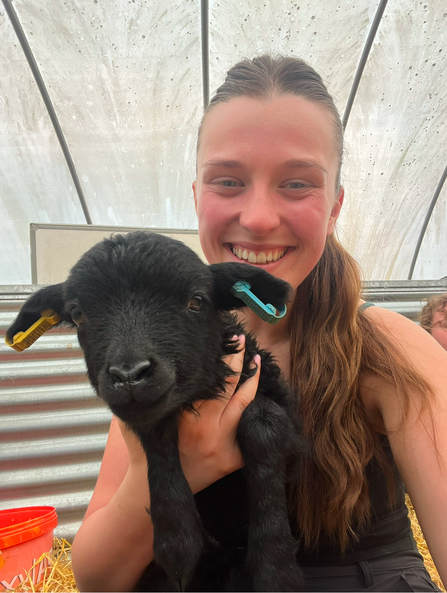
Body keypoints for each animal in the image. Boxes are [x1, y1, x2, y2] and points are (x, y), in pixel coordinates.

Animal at [7, 231, 306, 592]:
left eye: (197, 300)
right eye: (77, 313)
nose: (129, 375)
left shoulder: (284, 423)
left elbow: (262, 425)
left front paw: (276, 570)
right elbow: (157, 437)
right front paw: (176, 540)